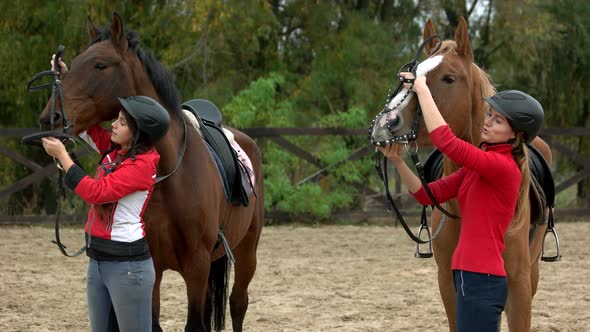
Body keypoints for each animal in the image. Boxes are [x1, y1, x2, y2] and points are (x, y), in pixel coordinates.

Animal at [38, 13, 264, 332]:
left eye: (99, 64)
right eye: (73, 63)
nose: (51, 118)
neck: (171, 175)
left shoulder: (196, 266)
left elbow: (195, 324)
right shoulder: (151, 266)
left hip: (246, 252)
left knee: (238, 304)